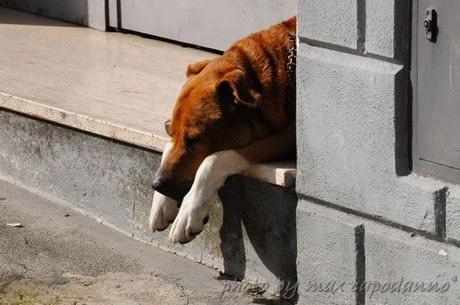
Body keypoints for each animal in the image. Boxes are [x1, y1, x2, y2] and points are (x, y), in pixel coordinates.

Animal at [149, 17, 296, 245]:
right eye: (169, 130)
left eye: (195, 140)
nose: (157, 185)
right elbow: (167, 148)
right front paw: (161, 203)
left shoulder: (289, 136)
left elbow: (212, 160)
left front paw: (190, 211)